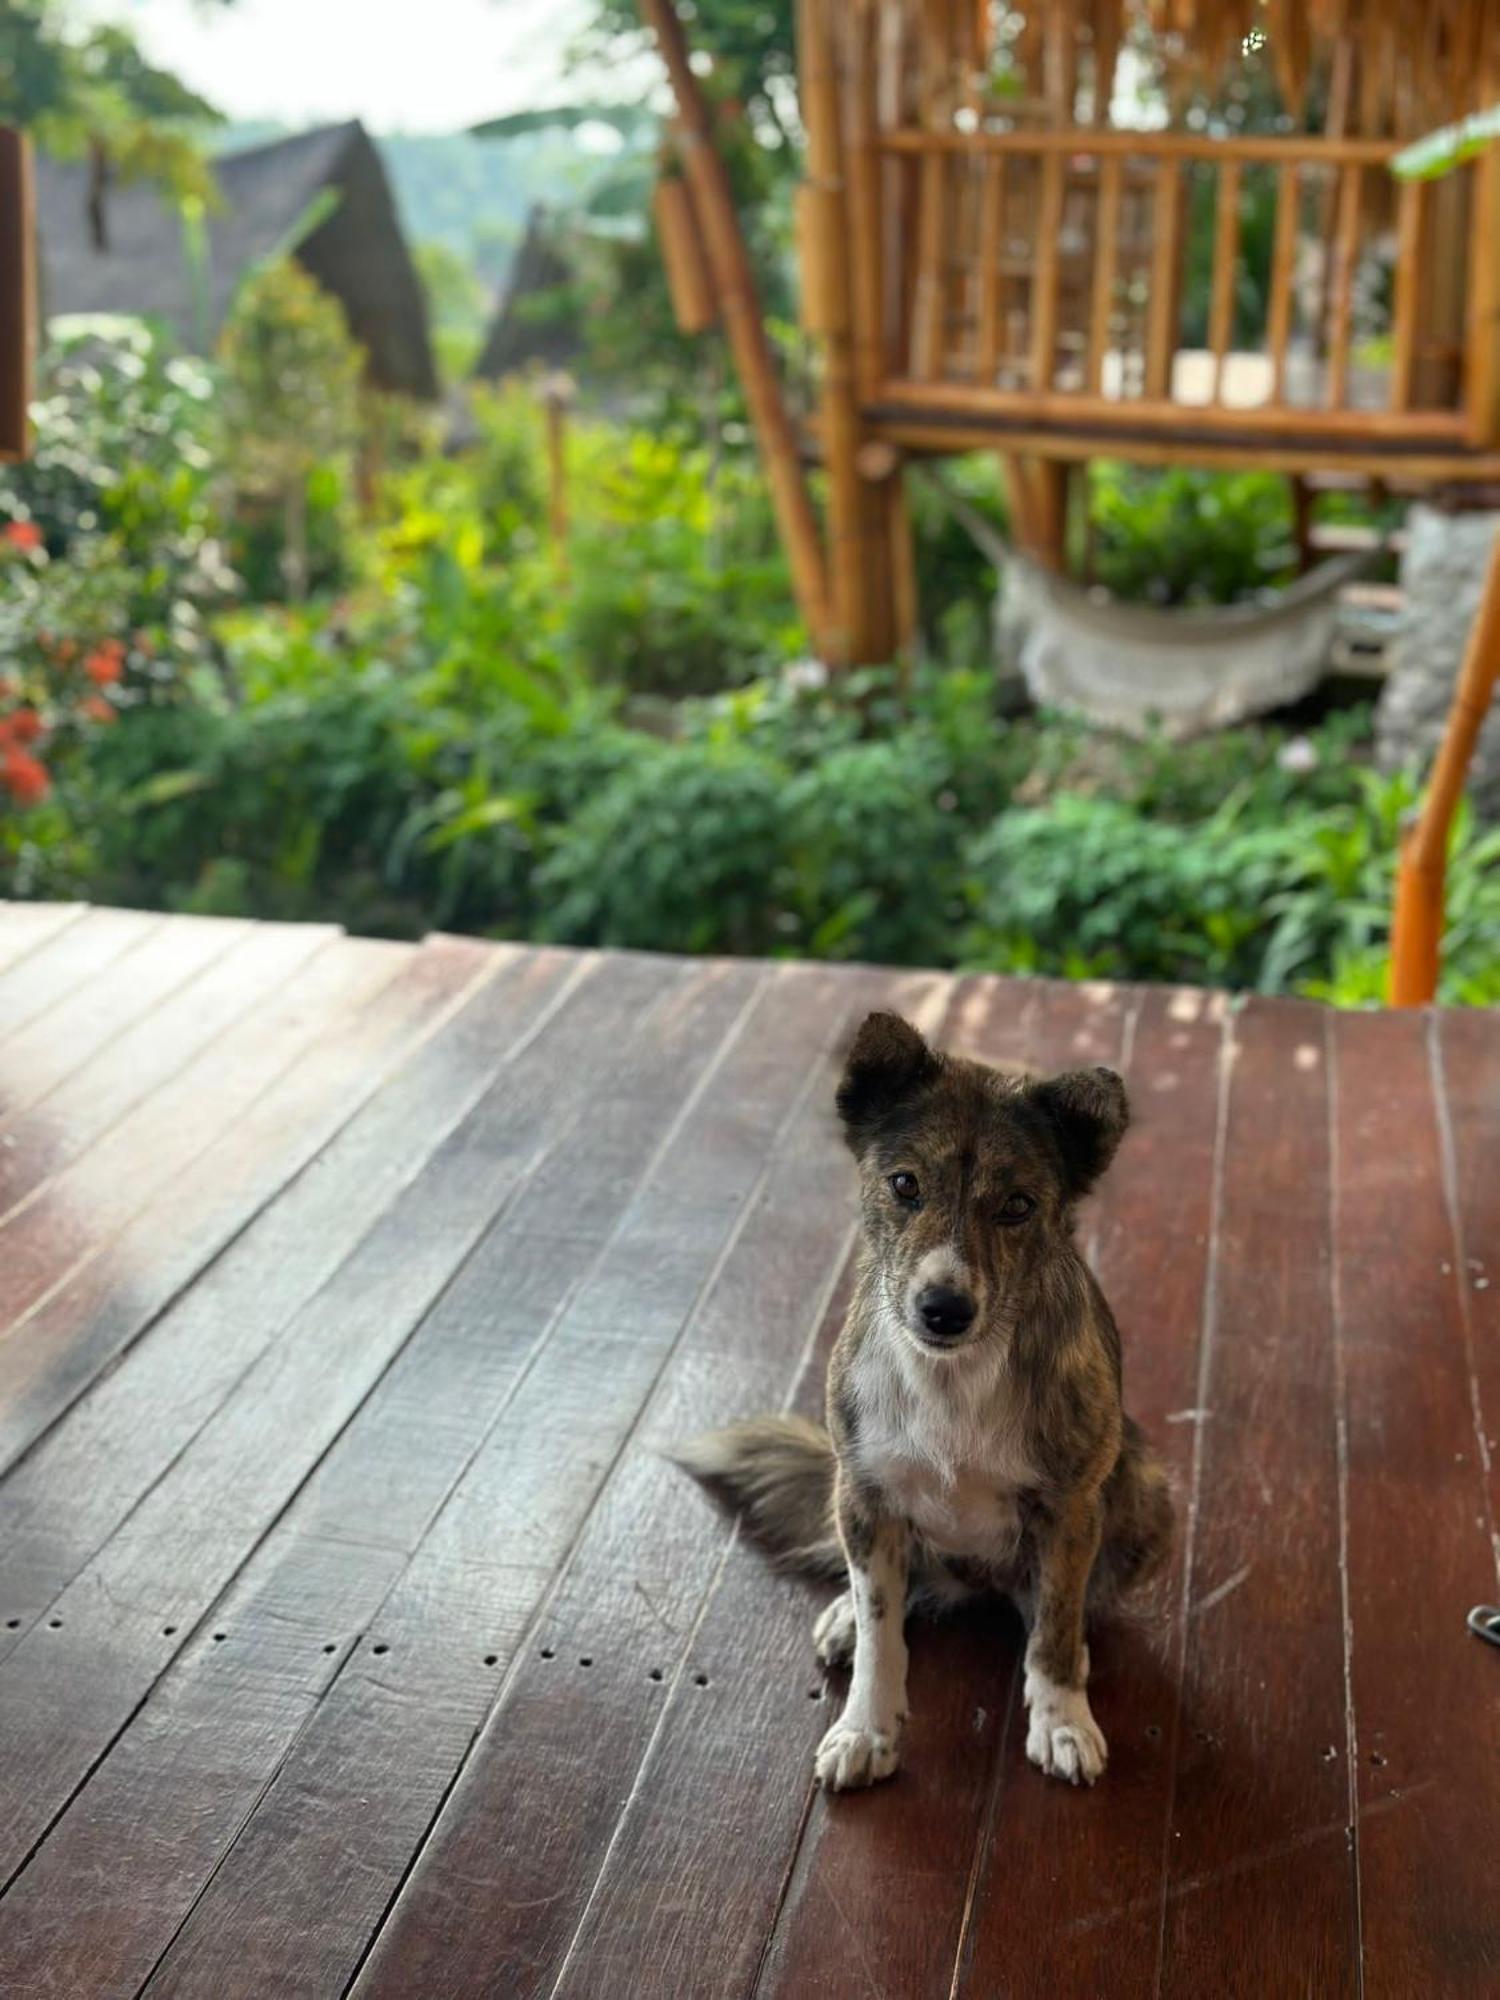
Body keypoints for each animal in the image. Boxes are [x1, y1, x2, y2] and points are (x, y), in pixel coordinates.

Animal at [676, 1016, 1184, 1800]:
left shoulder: (1070, 1509)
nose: (944, 1309)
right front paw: (866, 1730)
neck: (953, 1376)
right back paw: (846, 1617)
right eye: (904, 1184)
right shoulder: (865, 1495)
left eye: (1018, 1205)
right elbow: (883, 1634)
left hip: (1144, 1491)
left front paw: (1061, 1719)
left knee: (1053, 1609)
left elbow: (1055, 1626)